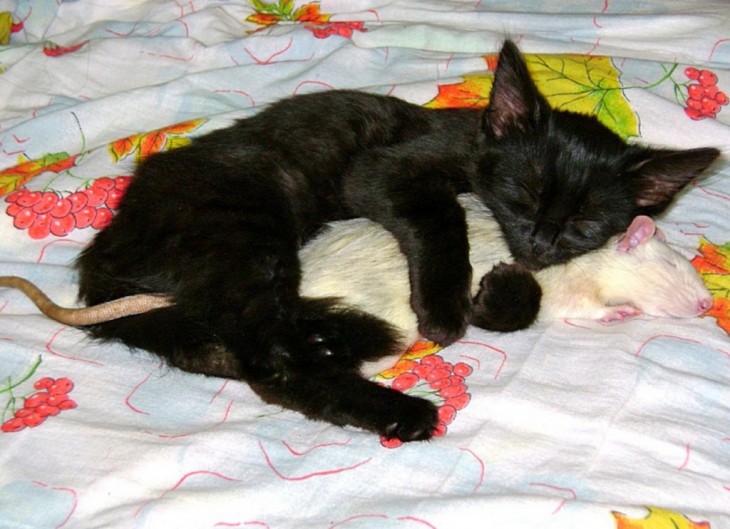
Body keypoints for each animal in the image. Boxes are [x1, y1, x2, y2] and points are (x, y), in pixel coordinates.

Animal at [74, 39, 716, 440]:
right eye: (524, 195)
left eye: (585, 225)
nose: (538, 244)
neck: (475, 139)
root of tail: (104, 256)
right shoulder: (381, 170)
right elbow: (441, 218)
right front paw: (443, 310)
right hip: (248, 235)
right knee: (271, 362)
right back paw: (398, 409)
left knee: (232, 350)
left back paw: (338, 348)